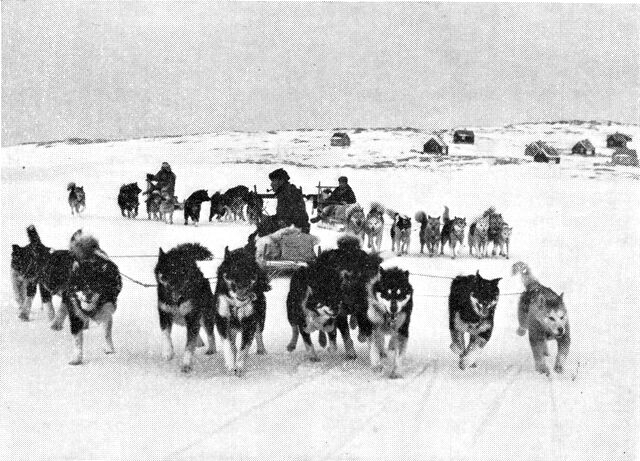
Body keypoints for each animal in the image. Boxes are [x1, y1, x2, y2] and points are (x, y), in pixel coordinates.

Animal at [155, 243, 218, 372]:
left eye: (182, 272)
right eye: (167, 270)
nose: (174, 285)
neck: (177, 301)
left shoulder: (192, 316)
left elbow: (189, 345)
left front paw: (186, 363)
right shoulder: (164, 314)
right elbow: (166, 335)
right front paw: (167, 352)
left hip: (205, 316)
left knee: (209, 333)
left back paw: (211, 349)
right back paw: (199, 342)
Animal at [214, 246, 268, 376]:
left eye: (249, 269)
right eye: (234, 268)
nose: (243, 284)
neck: (237, 303)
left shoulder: (249, 322)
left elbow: (244, 348)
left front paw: (239, 366)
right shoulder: (222, 320)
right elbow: (227, 344)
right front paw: (230, 363)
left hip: (260, 317)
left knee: (258, 333)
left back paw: (261, 349)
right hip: (232, 327)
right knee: (233, 341)